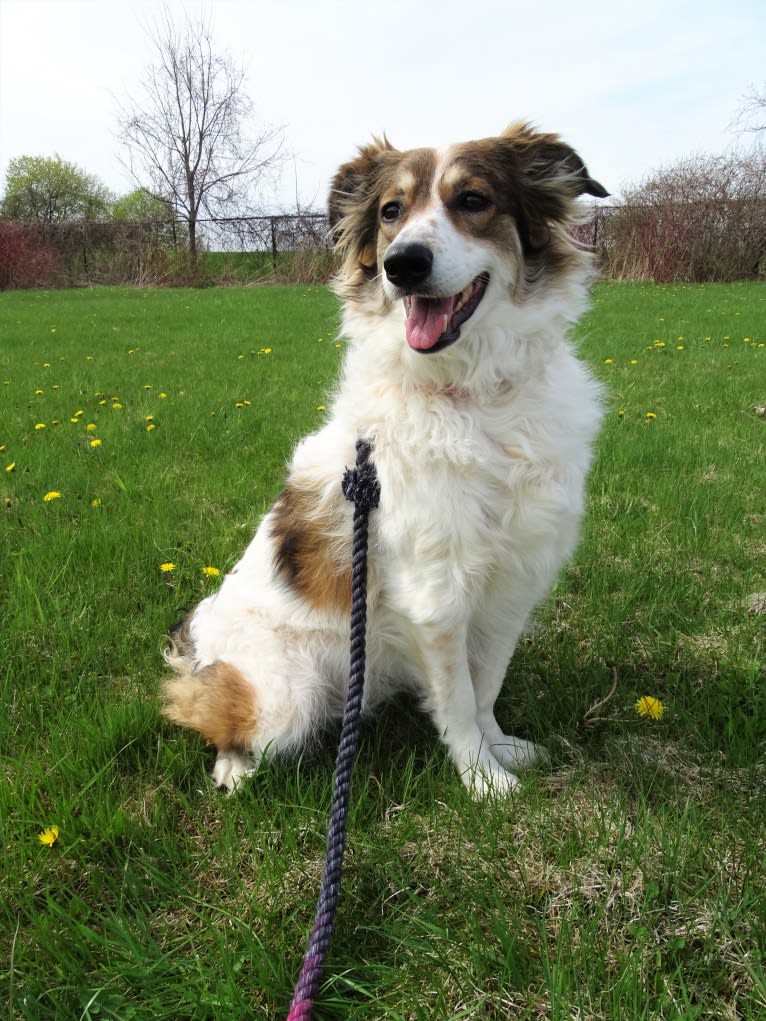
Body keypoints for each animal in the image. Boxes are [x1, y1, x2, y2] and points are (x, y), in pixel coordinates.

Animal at [165, 121, 608, 796]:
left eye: (473, 200)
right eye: (390, 212)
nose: (404, 264)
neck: (476, 398)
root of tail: (201, 647)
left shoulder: (512, 581)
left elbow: (486, 686)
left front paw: (503, 749)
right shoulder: (437, 594)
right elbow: (458, 700)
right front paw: (484, 781)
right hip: (283, 698)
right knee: (213, 715)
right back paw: (232, 768)